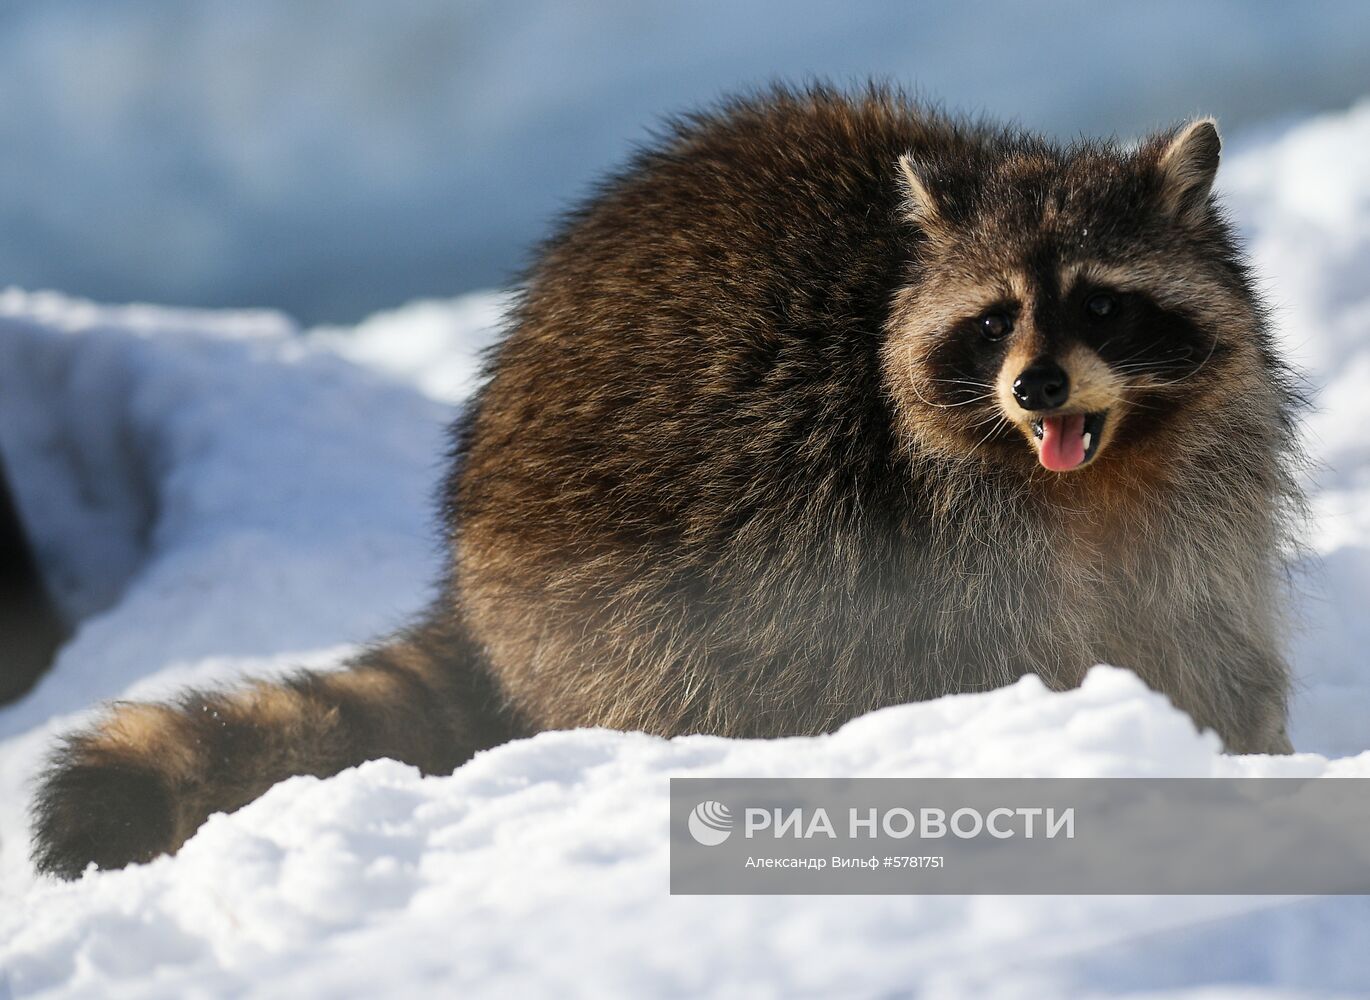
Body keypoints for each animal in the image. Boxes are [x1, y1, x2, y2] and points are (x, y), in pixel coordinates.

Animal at [32, 85, 1298, 882]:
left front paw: (1244, 760)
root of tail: (468, 579)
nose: (1035, 385)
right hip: (600, 582)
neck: (1099, 475)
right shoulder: (918, 543)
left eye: (1099, 303)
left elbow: (1205, 640)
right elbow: (977, 667)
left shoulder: (1197, 508)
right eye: (992, 321)